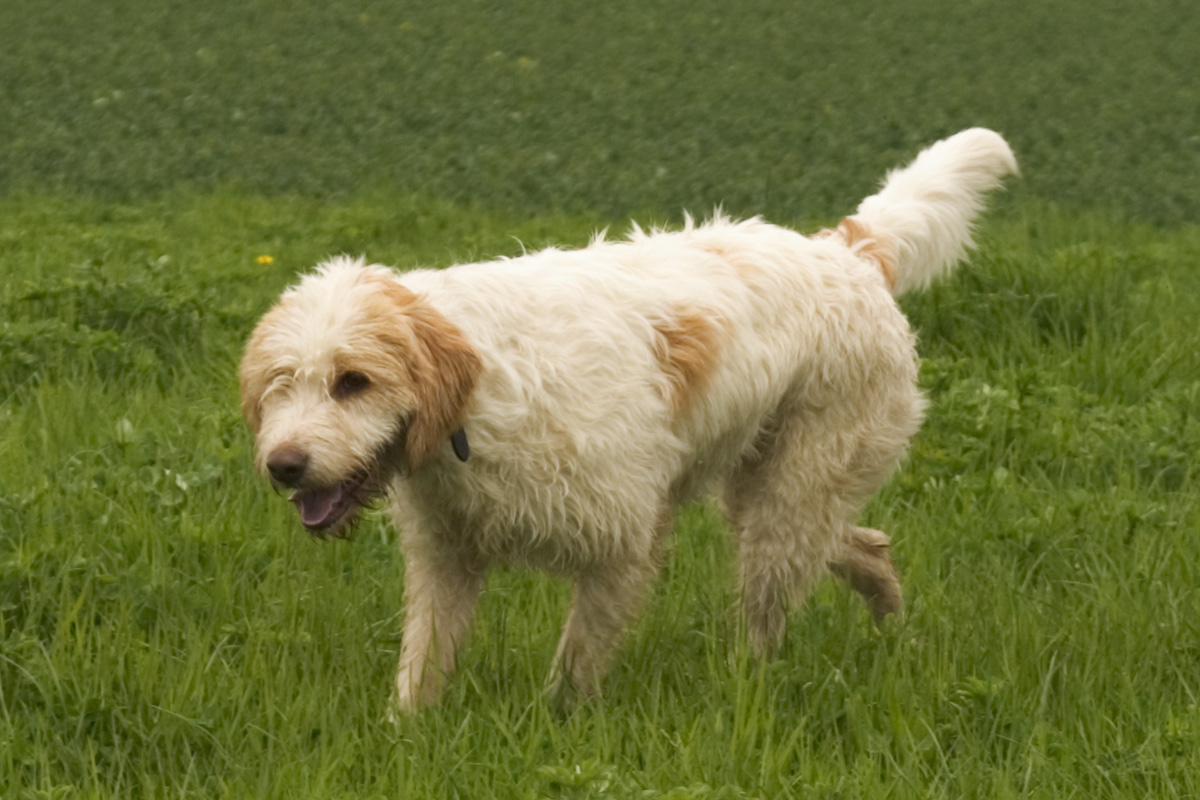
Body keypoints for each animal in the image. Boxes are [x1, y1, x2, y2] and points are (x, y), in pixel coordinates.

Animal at [243, 130, 1022, 714]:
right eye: (280, 386)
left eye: (353, 381)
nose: (283, 466)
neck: (481, 401)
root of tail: (847, 249)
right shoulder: (448, 559)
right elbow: (421, 669)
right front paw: (405, 737)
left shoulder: (623, 546)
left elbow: (572, 674)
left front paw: (555, 729)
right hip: (771, 496)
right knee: (867, 545)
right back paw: (889, 621)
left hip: (791, 500)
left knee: (769, 617)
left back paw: (748, 689)